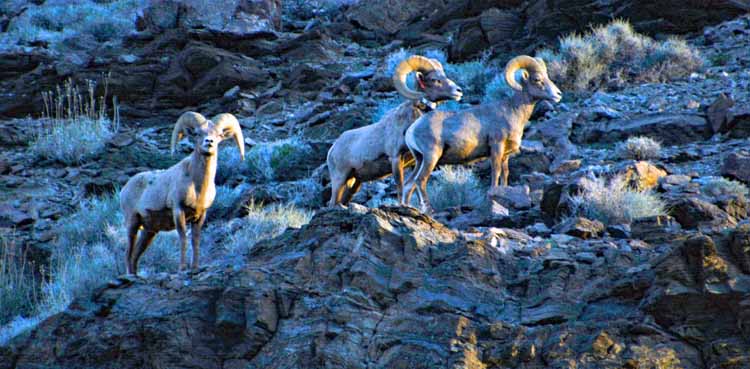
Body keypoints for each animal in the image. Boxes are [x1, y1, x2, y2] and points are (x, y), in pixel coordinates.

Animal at [119, 111, 245, 274]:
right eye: (197, 134)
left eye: (218, 135)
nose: (209, 142)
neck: (198, 187)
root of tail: (124, 189)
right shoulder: (178, 211)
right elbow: (183, 238)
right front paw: (182, 267)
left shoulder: (201, 215)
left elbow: (195, 240)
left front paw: (195, 267)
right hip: (132, 223)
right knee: (128, 254)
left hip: (149, 232)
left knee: (135, 256)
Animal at [328, 54, 464, 206]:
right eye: (435, 80)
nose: (458, 91)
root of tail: (332, 149)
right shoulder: (396, 158)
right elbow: (400, 186)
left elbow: (411, 186)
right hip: (340, 179)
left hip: (353, 184)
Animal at [406, 54, 564, 210]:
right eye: (537, 79)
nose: (558, 94)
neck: (512, 111)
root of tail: (412, 129)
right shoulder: (496, 147)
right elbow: (496, 172)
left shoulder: (505, 155)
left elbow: (505, 174)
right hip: (431, 157)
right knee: (420, 180)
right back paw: (428, 209)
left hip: (419, 159)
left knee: (409, 183)